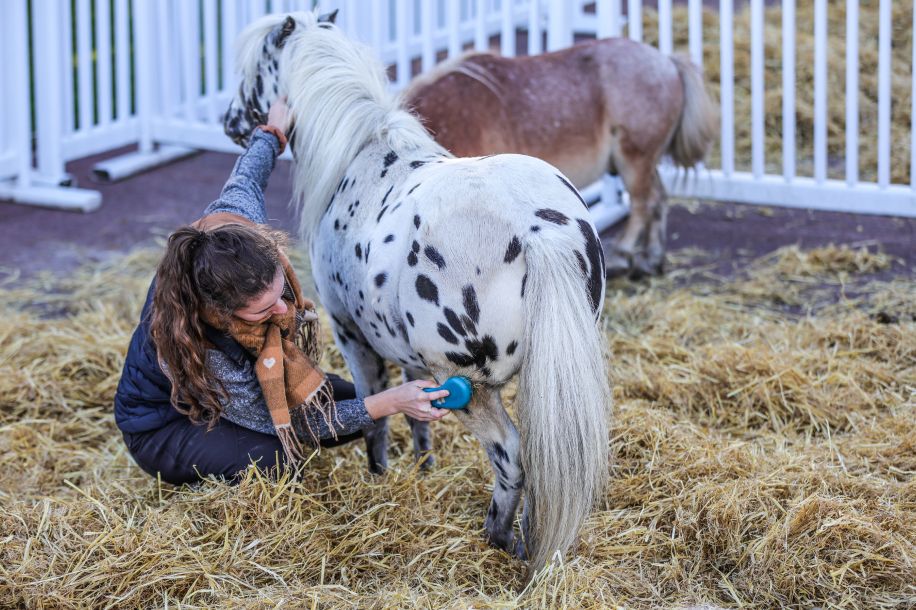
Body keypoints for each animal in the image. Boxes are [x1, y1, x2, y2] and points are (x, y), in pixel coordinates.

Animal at [223, 12, 611, 578]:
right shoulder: (406, 355)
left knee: (512, 454)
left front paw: (379, 476)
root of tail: (536, 228)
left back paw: (498, 537)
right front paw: (424, 470)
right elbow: (412, 413)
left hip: (472, 386)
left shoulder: (353, 336)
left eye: (253, 70)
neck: (359, 159)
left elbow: (374, 416)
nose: (231, 121)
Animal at [403, 39, 718, 278]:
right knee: (659, 199)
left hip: (635, 159)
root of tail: (667, 61)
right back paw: (651, 260)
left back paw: (623, 256)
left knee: (644, 203)